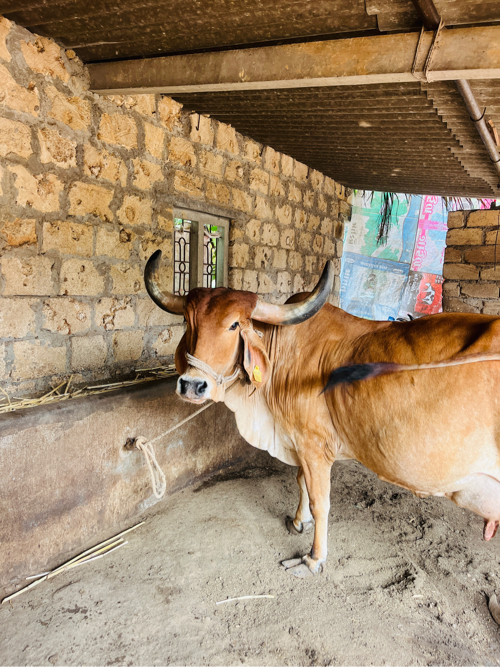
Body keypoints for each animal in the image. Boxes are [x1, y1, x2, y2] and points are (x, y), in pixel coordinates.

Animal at [145, 253, 500, 576]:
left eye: (234, 324)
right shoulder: (301, 444)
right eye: (189, 322)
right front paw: (297, 520)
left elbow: (320, 501)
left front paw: (314, 558)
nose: (192, 385)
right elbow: (300, 481)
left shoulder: (314, 446)